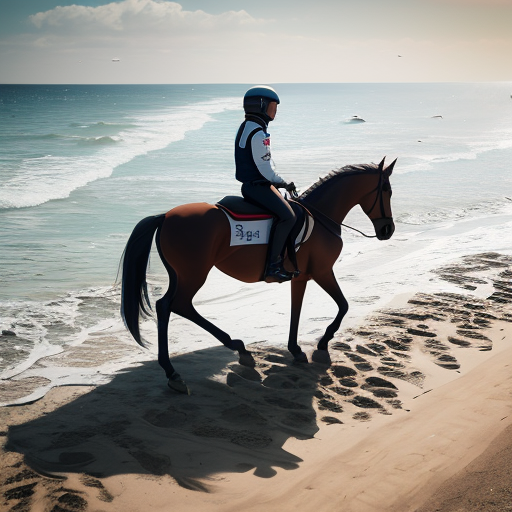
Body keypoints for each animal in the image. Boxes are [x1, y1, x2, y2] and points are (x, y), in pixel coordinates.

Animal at [120, 156, 396, 392]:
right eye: (386, 190)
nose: (388, 230)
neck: (321, 216)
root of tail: (165, 216)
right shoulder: (322, 271)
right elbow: (343, 305)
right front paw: (322, 343)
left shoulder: (301, 277)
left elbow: (297, 309)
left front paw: (296, 349)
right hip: (194, 274)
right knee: (173, 305)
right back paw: (181, 369)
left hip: (180, 274)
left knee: (173, 306)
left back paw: (232, 351)